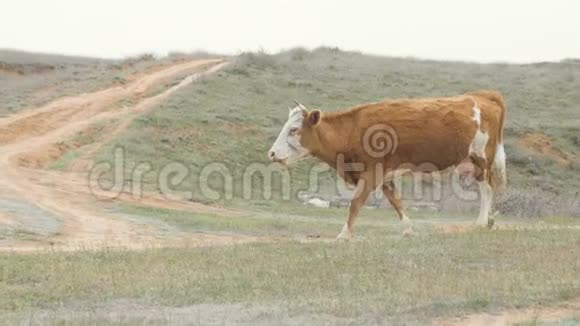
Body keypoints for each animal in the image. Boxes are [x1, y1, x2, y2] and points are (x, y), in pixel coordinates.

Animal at [268, 90, 508, 241]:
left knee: (487, 190)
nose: (271, 153)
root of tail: (484, 95)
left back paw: (482, 222)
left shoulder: (370, 174)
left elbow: (355, 204)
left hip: (481, 160)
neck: (351, 130)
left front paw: (344, 234)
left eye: (293, 130)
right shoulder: (384, 176)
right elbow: (396, 201)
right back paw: (489, 221)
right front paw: (408, 229)